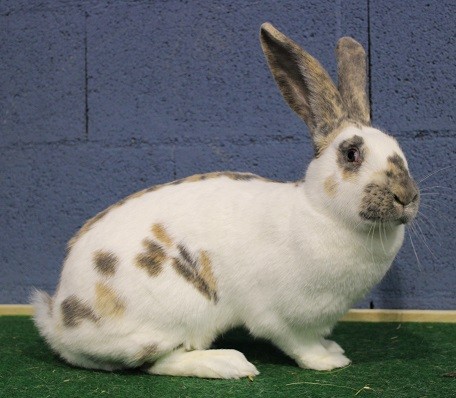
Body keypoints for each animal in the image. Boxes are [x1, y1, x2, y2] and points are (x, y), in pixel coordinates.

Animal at [30, 23, 418, 378]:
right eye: (352, 154)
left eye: (397, 147)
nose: (407, 196)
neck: (320, 210)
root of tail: (59, 321)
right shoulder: (278, 316)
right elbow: (299, 343)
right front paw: (327, 361)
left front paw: (333, 347)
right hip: (177, 315)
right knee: (159, 362)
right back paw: (228, 363)